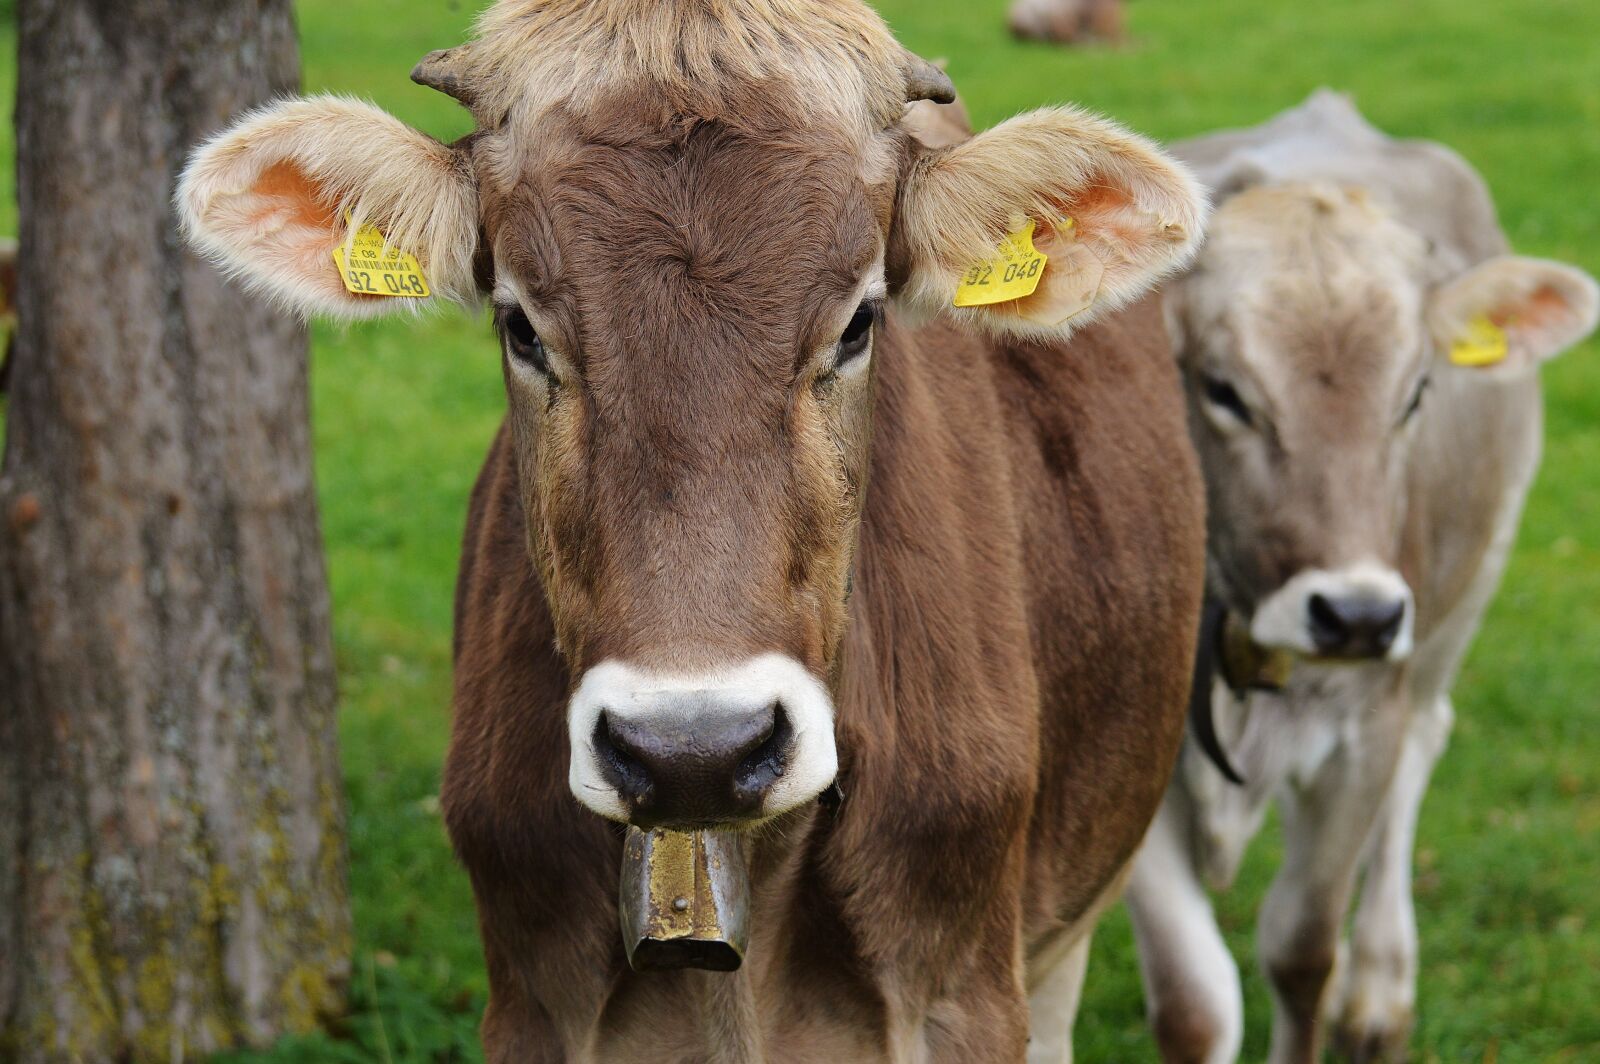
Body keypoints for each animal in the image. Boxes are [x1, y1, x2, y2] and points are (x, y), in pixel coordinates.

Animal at [1128, 91, 1600, 1064]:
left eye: (1417, 393)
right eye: (1223, 390)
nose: (1355, 615)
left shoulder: (1360, 736)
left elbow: (1301, 952)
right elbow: (1195, 1004)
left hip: (1463, 599)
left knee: (1425, 738)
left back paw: (1379, 988)